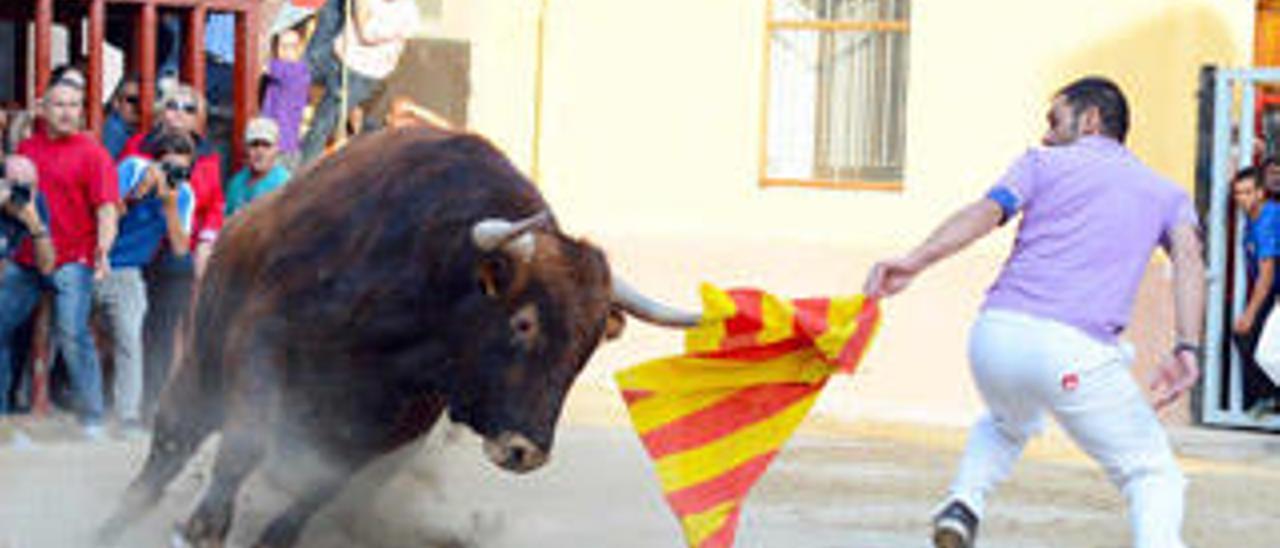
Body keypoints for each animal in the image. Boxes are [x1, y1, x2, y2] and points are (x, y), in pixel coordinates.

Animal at [97, 127, 701, 548]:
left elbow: (314, 495)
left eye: (587, 348)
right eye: (523, 322)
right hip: (201, 367)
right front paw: (201, 527)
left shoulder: (384, 431)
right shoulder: (260, 346)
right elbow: (242, 447)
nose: (525, 451)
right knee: (167, 451)